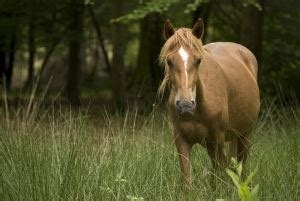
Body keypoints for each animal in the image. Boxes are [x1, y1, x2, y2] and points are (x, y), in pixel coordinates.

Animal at [159, 18, 260, 188]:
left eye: (198, 60)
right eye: (169, 61)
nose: (185, 105)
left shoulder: (217, 140)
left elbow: (220, 173)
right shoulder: (181, 140)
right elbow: (186, 180)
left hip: (245, 134)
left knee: (242, 166)